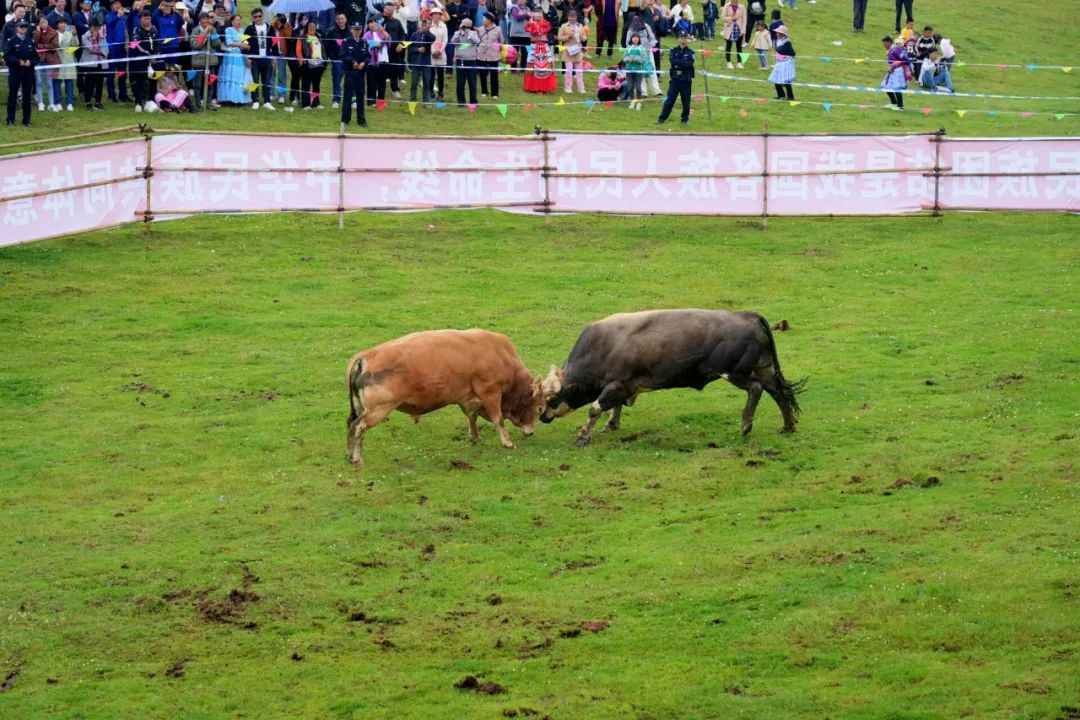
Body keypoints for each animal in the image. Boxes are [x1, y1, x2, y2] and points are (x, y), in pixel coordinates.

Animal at [345, 330, 540, 470]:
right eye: (538, 409)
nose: (531, 432)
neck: (500, 354)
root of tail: (365, 358)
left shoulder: (469, 399)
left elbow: (472, 417)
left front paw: (475, 436)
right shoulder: (490, 392)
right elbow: (498, 419)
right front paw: (508, 442)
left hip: (362, 408)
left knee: (350, 424)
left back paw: (350, 454)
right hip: (378, 410)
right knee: (358, 427)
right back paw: (358, 459)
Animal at [540, 310, 803, 444]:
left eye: (550, 399)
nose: (542, 416)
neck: (601, 347)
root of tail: (747, 315)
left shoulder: (615, 384)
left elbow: (595, 408)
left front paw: (583, 435)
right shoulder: (622, 386)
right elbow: (615, 407)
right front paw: (612, 424)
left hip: (735, 372)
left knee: (756, 389)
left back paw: (747, 424)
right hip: (764, 367)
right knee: (778, 391)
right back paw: (788, 425)